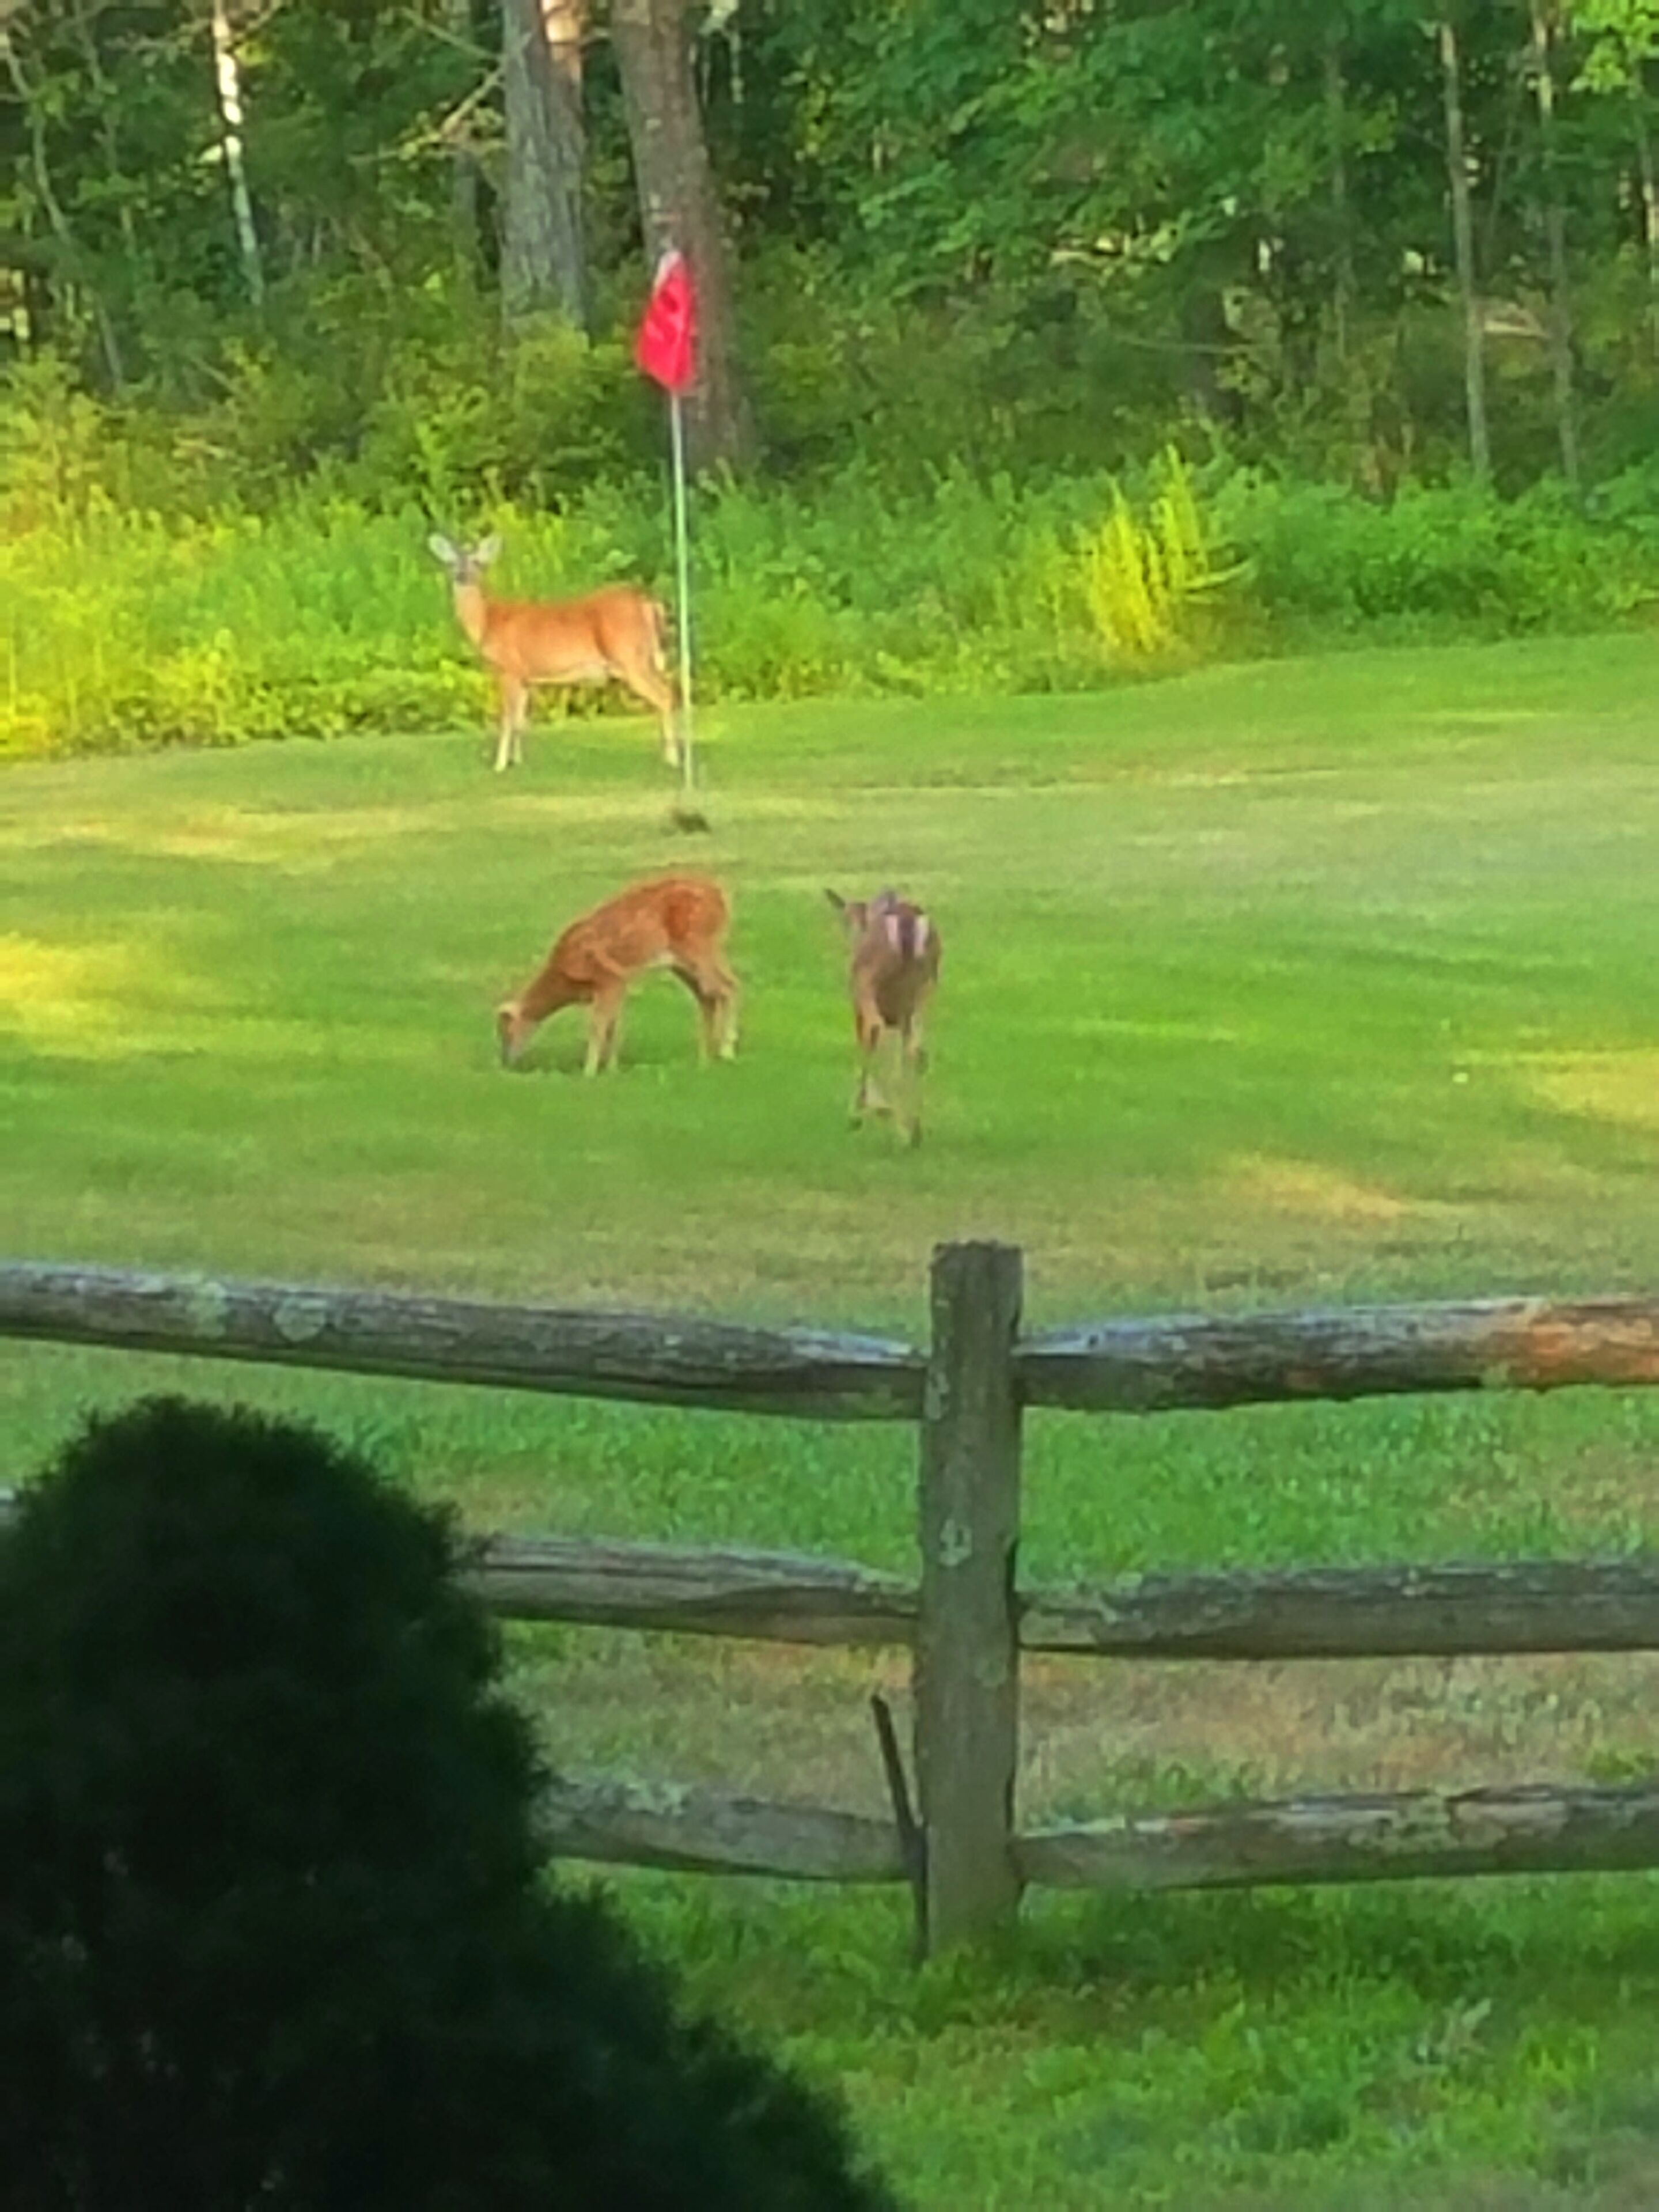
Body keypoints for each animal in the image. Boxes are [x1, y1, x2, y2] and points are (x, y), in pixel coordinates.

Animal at [427, 532, 680, 774]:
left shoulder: (508, 669)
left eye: (478, 562)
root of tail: (646, 601)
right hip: (644, 657)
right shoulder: (524, 677)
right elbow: (520, 721)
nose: (462, 575)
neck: (488, 621)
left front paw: (499, 766)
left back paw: (673, 759)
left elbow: (507, 720)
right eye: (451, 562)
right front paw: (517, 762)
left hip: (629, 657)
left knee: (665, 695)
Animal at [497, 875, 739, 1077]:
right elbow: (613, 1026)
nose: (506, 1061)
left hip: (698, 944)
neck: (566, 977)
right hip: (679, 962)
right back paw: (705, 1056)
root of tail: (720, 897)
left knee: (728, 985)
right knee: (707, 995)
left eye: (506, 1031)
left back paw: (726, 1050)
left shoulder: (610, 978)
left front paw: (589, 1071)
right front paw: (611, 1069)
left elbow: (598, 1026)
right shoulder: (615, 986)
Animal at [825, 887, 942, 1146]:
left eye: (846, 918)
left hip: (867, 982)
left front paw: (864, 1110)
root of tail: (907, 921)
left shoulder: (859, 1006)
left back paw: (878, 1114)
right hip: (925, 989)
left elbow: (866, 1042)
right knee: (917, 1053)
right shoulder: (902, 1015)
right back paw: (914, 1131)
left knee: (875, 1029)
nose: (851, 936)